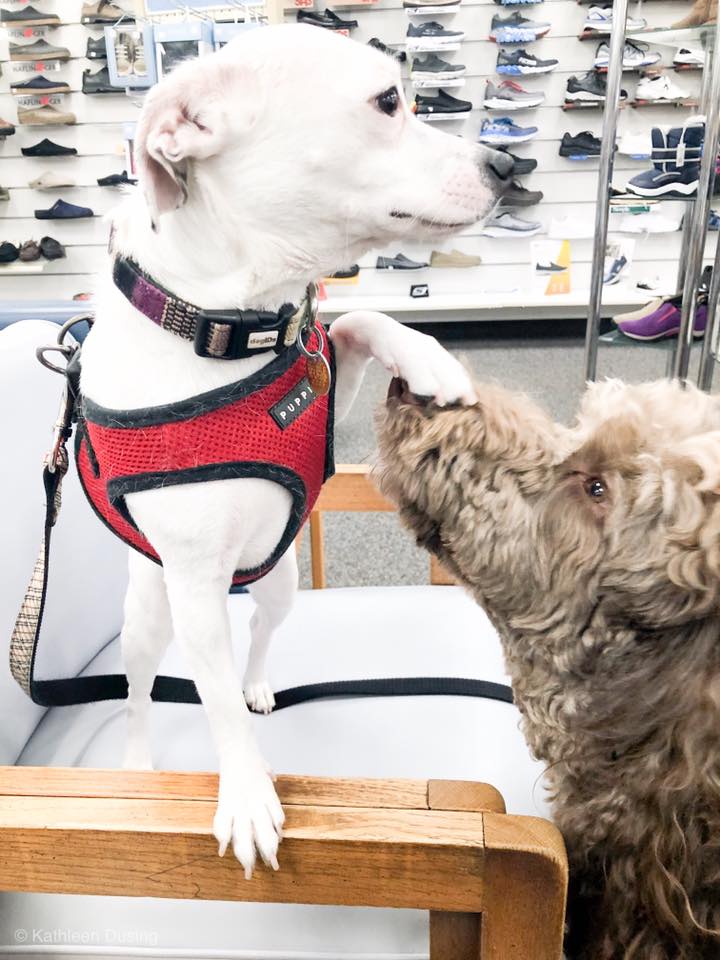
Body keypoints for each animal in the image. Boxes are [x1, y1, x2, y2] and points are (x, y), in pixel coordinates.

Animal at [79, 22, 512, 876]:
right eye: (387, 102)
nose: (511, 167)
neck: (232, 323)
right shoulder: (194, 589)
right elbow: (211, 704)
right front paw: (247, 796)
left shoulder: (321, 387)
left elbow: (357, 321)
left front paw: (429, 358)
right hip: (151, 612)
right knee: (142, 691)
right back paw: (139, 764)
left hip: (275, 584)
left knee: (260, 635)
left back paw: (258, 683)